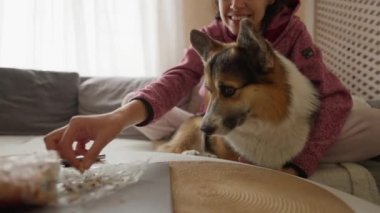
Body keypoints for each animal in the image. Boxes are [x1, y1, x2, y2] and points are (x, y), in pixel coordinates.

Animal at [156, 19, 320, 170]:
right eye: (209, 90)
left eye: (229, 90)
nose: (205, 130)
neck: (263, 122)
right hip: (193, 127)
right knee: (169, 149)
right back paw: (194, 153)